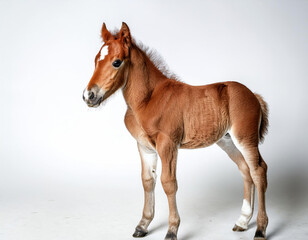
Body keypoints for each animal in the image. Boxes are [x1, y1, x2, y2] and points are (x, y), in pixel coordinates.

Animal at [83, 22, 268, 240]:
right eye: (96, 60)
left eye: (117, 62)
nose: (88, 95)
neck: (147, 99)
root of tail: (253, 94)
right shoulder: (144, 147)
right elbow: (148, 181)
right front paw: (142, 225)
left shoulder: (168, 144)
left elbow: (168, 183)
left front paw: (172, 230)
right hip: (227, 141)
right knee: (245, 170)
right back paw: (242, 221)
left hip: (246, 138)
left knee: (258, 171)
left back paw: (260, 229)